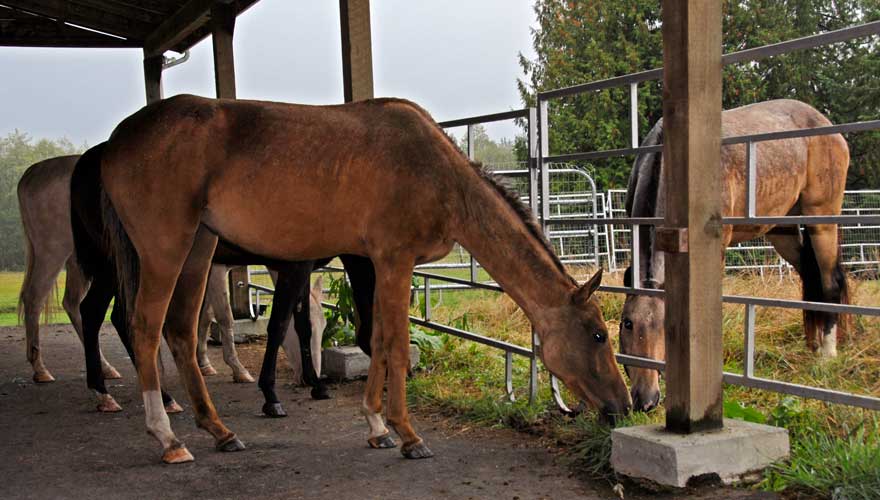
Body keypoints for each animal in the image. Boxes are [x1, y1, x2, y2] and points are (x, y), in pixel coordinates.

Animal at [16, 156, 121, 383]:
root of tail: (33, 172)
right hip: (52, 252)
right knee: (34, 297)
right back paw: (40, 369)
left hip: (75, 260)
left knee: (73, 303)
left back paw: (105, 367)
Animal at [70, 143, 377, 417]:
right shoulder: (278, 268)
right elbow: (273, 324)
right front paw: (269, 394)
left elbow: (300, 323)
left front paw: (316, 385)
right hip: (118, 266)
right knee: (102, 314)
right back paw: (121, 393)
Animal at [620, 99, 850, 412]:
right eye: (627, 324)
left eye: (665, 327)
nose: (646, 399)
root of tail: (828, 126)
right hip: (783, 228)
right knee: (809, 276)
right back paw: (812, 344)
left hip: (821, 220)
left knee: (830, 283)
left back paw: (827, 354)